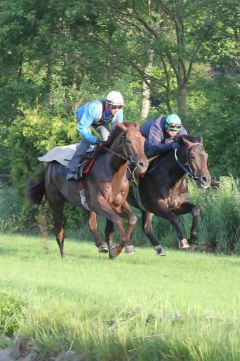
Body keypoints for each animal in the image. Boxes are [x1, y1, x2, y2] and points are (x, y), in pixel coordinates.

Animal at [26, 122, 148, 258]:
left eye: (143, 140)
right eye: (128, 141)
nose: (143, 164)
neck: (112, 172)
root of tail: (49, 165)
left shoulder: (118, 203)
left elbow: (131, 219)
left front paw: (119, 249)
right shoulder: (98, 202)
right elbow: (117, 219)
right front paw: (122, 248)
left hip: (86, 205)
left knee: (91, 224)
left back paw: (101, 246)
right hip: (56, 201)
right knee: (59, 231)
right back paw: (63, 257)